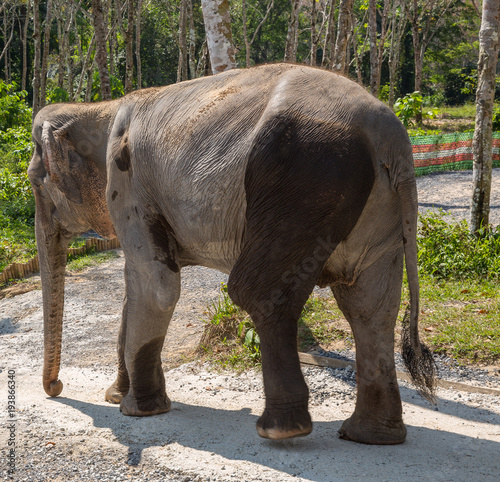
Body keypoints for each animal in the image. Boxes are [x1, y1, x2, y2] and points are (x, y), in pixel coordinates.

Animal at [29, 63, 434, 444]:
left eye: (35, 183)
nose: (55, 388)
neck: (101, 108)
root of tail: (394, 140)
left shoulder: (128, 183)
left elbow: (157, 288)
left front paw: (136, 410)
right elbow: (135, 291)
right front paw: (117, 397)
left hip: (301, 179)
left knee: (257, 292)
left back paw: (280, 430)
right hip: (375, 212)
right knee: (369, 308)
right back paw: (369, 436)